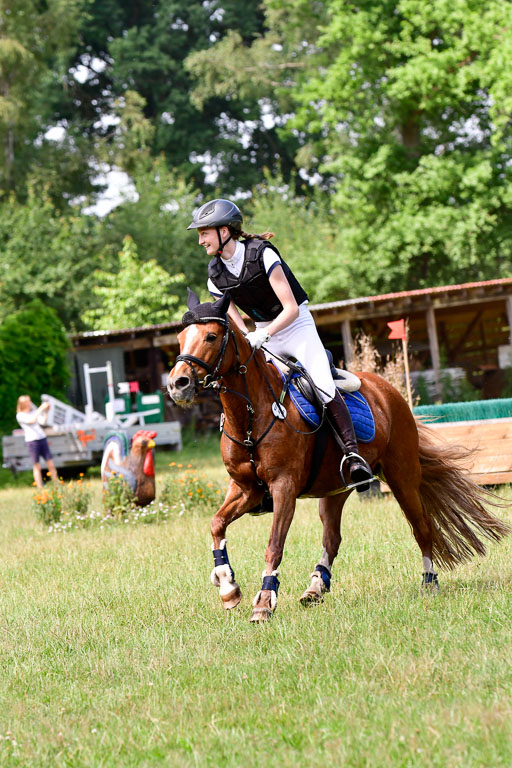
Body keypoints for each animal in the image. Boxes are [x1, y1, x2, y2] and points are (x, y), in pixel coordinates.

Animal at [167, 292, 508, 620]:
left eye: (211, 336)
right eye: (181, 338)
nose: (177, 384)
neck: (252, 416)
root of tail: (388, 390)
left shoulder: (284, 487)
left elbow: (274, 546)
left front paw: (264, 602)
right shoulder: (246, 489)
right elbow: (216, 524)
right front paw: (228, 586)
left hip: (402, 476)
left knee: (421, 526)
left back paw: (429, 581)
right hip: (335, 488)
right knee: (333, 538)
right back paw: (316, 587)